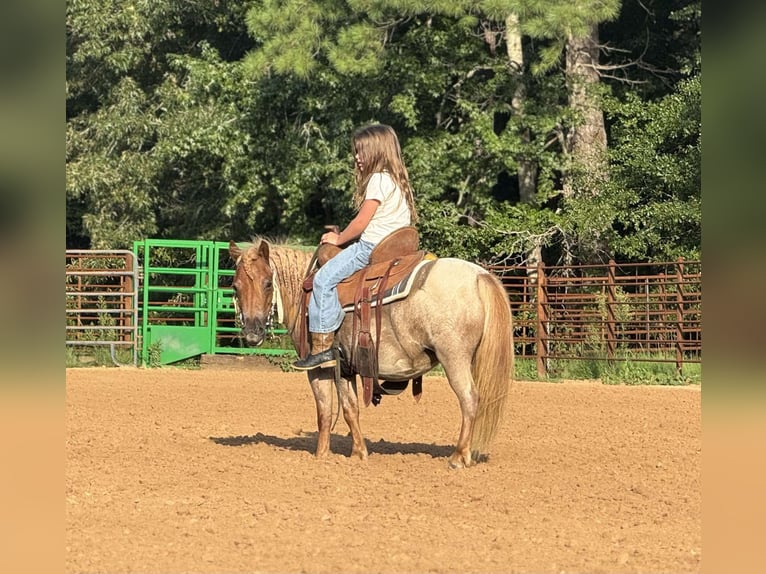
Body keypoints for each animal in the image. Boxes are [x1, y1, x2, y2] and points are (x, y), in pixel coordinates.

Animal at [230, 238, 516, 468]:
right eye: (235, 286)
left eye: (268, 283)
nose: (252, 333)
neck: (305, 293)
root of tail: (479, 275)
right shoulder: (345, 368)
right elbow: (350, 408)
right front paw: (358, 453)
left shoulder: (318, 368)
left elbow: (325, 411)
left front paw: (321, 456)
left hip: (454, 359)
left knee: (469, 399)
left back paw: (458, 456)